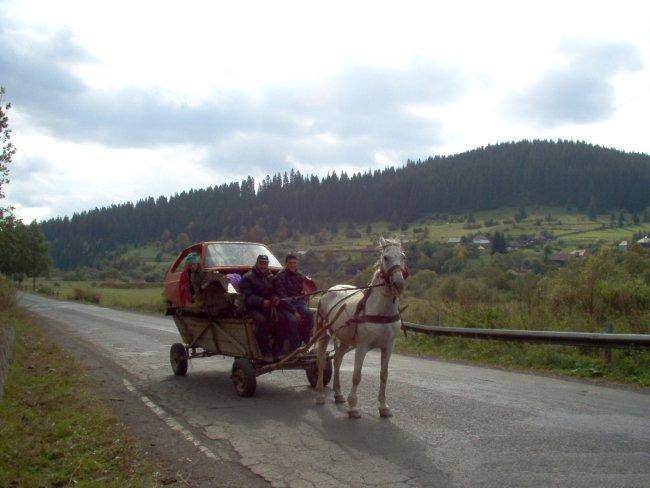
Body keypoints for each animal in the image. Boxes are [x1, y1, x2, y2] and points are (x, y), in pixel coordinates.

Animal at [312, 237, 404, 420]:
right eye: (386, 258)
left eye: (403, 257)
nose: (399, 283)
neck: (381, 310)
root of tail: (329, 290)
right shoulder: (362, 346)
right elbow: (356, 376)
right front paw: (353, 407)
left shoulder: (388, 346)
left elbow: (384, 375)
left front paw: (383, 407)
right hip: (324, 334)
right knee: (320, 360)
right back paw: (319, 395)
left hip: (345, 339)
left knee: (337, 360)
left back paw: (338, 393)